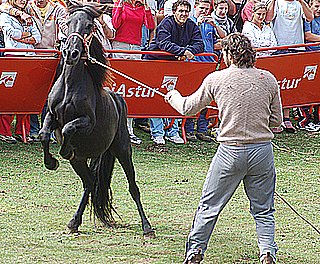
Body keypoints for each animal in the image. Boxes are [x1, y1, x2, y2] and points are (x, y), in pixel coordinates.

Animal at [38, 0, 154, 235]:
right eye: (68, 23)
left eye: (89, 25)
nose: (71, 53)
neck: (70, 86)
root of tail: (118, 99)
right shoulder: (52, 115)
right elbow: (44, 134)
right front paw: (51, 162)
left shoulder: (87, 122)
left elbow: (68, 129)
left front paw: (63, 151)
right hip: (82, 161)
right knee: (90, 183)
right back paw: (74, 222)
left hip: (122, 150)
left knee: (133, 187)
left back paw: (147, 226)